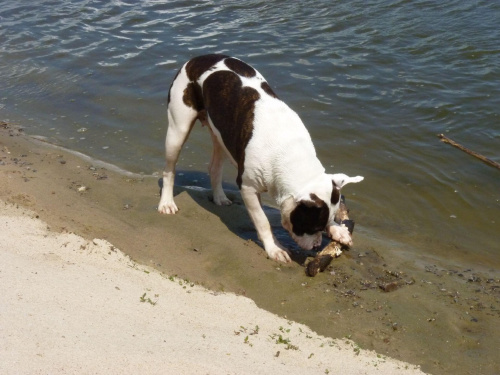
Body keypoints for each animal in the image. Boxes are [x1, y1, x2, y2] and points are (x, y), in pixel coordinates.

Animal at [160, 54, 364, 262]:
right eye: (311, 226)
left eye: (326, 222)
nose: (316, 246)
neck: (291, 153)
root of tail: (198, 58)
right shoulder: (248, 188)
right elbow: (263, 220)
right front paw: (275, 248)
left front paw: (337, 230)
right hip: (178, 130)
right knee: (169, 169)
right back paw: (167, 203)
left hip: (221, 134)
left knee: (215, 167)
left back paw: (219, 197)